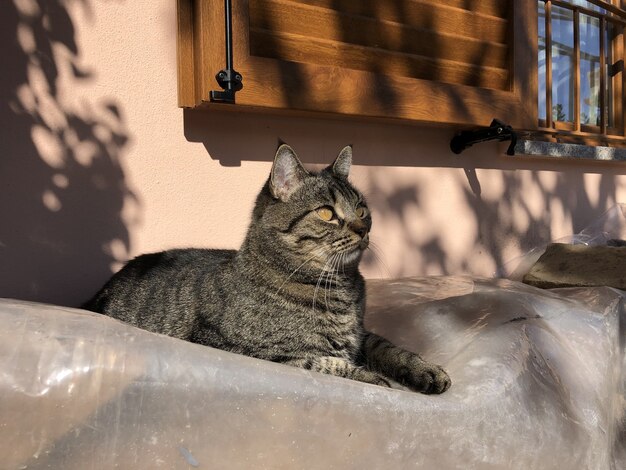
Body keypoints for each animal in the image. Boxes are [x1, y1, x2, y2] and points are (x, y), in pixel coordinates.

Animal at [85, 144, 450, 392]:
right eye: (326, 213)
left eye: (361, 209)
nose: (363, 229)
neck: (338, 286)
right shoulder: (240, 351)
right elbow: (326, 363)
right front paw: (374, 378)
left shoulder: (362, 336)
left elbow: (388, 346)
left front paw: (425, 370)